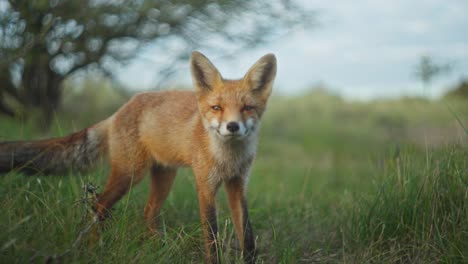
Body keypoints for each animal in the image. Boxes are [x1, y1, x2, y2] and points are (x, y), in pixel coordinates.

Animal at [0, 51, 276, 262]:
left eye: (247, 108)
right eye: (216, 108)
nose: (232, 126)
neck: (228, 159)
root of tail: (118, 111)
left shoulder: (238, 184)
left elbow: (248, 236)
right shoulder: (205, 186)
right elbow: (212, 236)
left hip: (164, 176)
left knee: (147, 212)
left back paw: (159, 248)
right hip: (130, 174)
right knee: (98, 206)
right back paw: (95, 247)